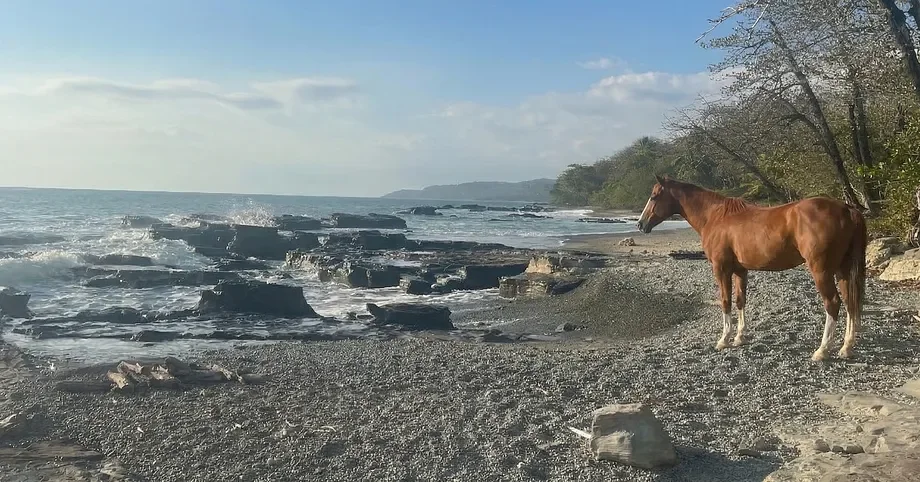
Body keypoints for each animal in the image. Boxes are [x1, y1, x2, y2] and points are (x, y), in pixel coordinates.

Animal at [636, 175, 867, 361]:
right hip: (842, 270)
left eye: (654, 196)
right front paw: (739, 337)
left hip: (821, 271)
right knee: (850, 302)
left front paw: (724, 340)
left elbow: (726, 301)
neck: (716, 216)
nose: (640, 224)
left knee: (833, 303)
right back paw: (846, 348)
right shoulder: (740, 270)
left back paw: (822, 350)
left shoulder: (721, 269)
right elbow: (740, 301)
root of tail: (847, 209)